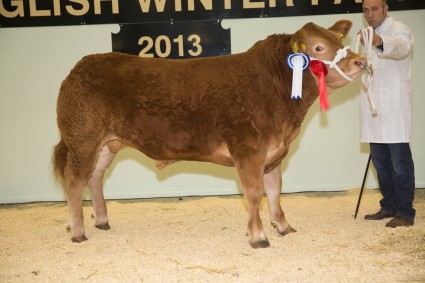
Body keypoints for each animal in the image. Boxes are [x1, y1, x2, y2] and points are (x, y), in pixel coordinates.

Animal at [53, 21, 364, 250]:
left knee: (94, 177)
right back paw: (78, 231)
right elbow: (254, 194)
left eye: (339, 40)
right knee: (75, 181)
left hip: (106, 144)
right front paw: (258, 236)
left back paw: (101, 221)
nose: (361, 61)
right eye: (319, 47)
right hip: (83, 139)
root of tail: (80, 67)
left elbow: (275, 190)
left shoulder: (274, 152)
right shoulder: (248, 151)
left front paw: (283, 226)